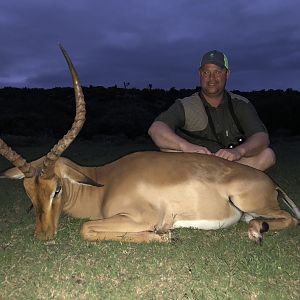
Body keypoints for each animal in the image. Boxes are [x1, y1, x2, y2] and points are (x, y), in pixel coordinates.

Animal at [0, 46, 300, 244]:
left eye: (57, 189)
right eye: (28, 192)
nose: (43, 236)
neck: (104, 183)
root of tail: (271, 183)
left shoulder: (139, 217)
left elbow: (87, 229)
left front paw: (166, 233)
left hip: (249, 201)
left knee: (292, 219)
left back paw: (255, 232)